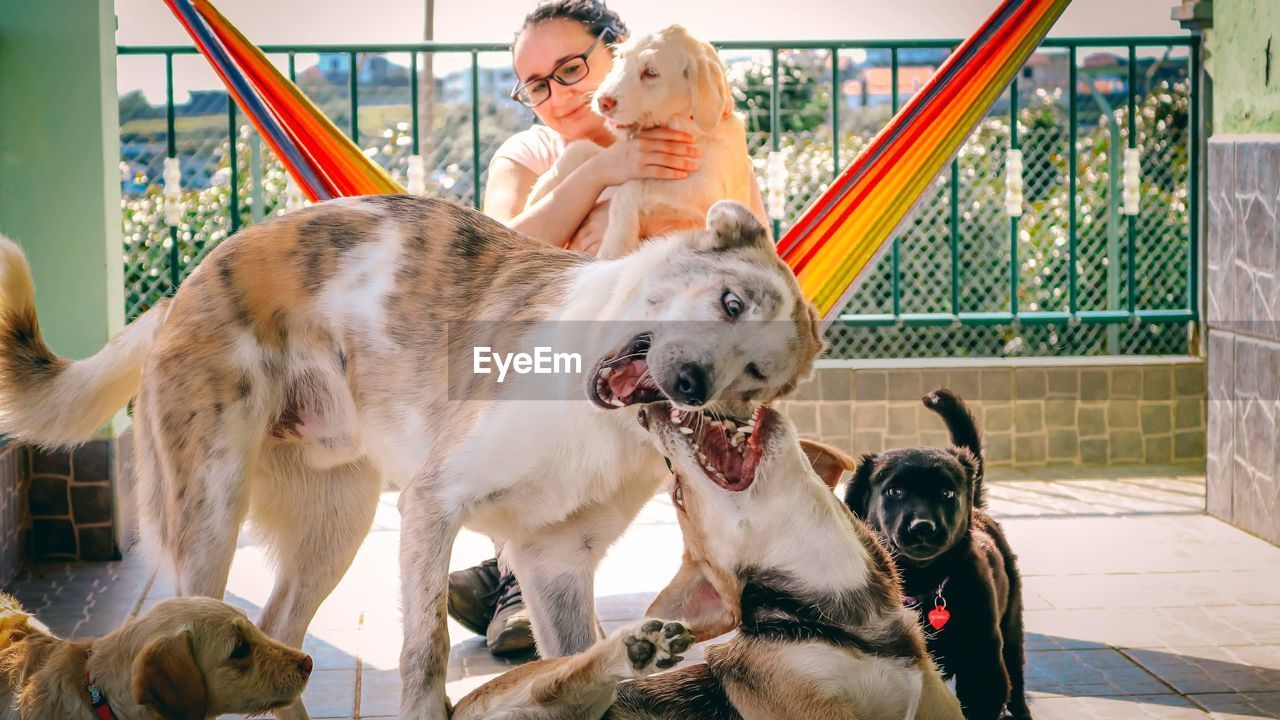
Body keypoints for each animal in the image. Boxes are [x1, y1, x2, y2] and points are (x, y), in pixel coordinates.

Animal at [529, 25, 757, 257]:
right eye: (621, 58)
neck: (683, 123)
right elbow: (581, 149)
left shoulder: (708, 193)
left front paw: (612, 250)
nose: (603, 102)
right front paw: (539, 194)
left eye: (651, 73)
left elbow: (629, 190)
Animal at [844, 386, 1034, 717]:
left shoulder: (982, 665)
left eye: (946, 493)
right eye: (894, 491)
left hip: (1011, 626)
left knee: (1016, 679)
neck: (922, 585)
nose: (922, 526)